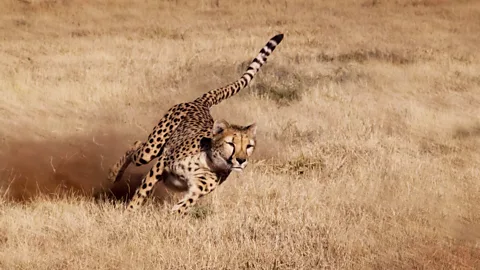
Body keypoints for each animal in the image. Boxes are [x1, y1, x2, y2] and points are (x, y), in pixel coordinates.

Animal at [107, 33, 284, 213]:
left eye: (249, 146)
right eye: (231, 144)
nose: (241, 160)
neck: (210, 162)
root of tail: (201, 103)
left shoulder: (197, 190)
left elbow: (183, 205)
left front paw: (171, 216)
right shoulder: (162, 163)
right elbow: (143, 190)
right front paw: (130, 211)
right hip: (152, 149)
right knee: (136, 146)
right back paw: (113, 174)